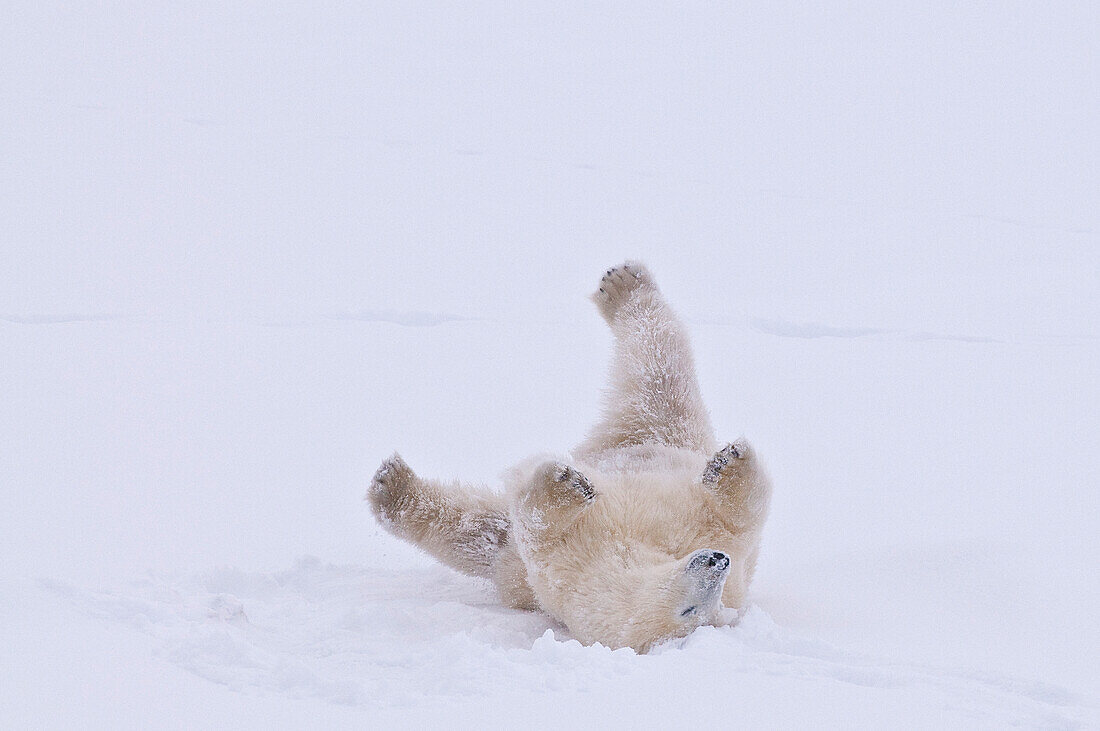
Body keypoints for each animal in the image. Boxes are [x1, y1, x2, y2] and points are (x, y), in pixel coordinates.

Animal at [365, 260, 770, 650]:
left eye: (699, 610)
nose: (717, 559)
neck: (634, 545)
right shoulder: (688, 524)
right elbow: (742, 509)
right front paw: (730, 460)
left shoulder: (562, 566)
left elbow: (533, 524)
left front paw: (563, 484)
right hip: (651, 436)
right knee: (659, 375)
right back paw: (625, 283)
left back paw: (392, 488)